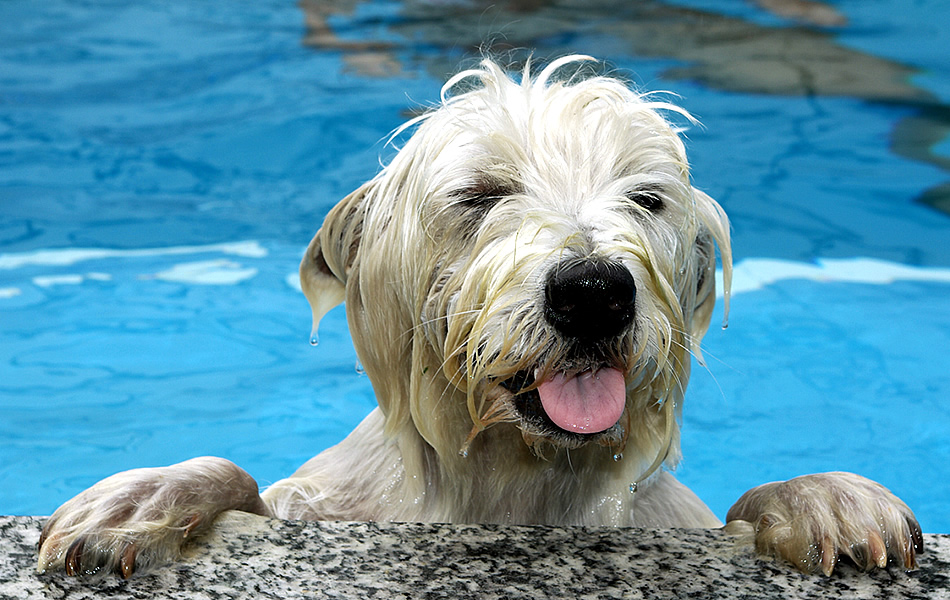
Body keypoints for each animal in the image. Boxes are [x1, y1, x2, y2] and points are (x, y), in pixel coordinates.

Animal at [37, 56, 924, 580]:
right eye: (480, 194)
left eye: (647, 198)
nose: (593, 289)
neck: (513, 481)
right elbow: (241, 478)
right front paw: (139, 501)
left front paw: (827, 498)